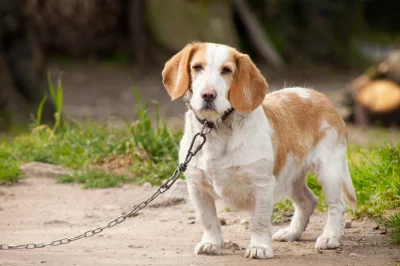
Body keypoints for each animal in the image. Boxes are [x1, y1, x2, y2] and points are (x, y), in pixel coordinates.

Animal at [161, 42, 358, 258]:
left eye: (226, 70)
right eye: (197, 67)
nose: (208, 95)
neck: (217, 129)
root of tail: (321, 97)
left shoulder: (262, 185)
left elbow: (259, 221)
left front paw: (259, 247)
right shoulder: (197, 187)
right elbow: (208, 220)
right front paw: (210, 243)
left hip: (329, 172)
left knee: (337, 206)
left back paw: (329, 237)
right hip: (291, 176)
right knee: (308, 201)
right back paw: (291, 232)